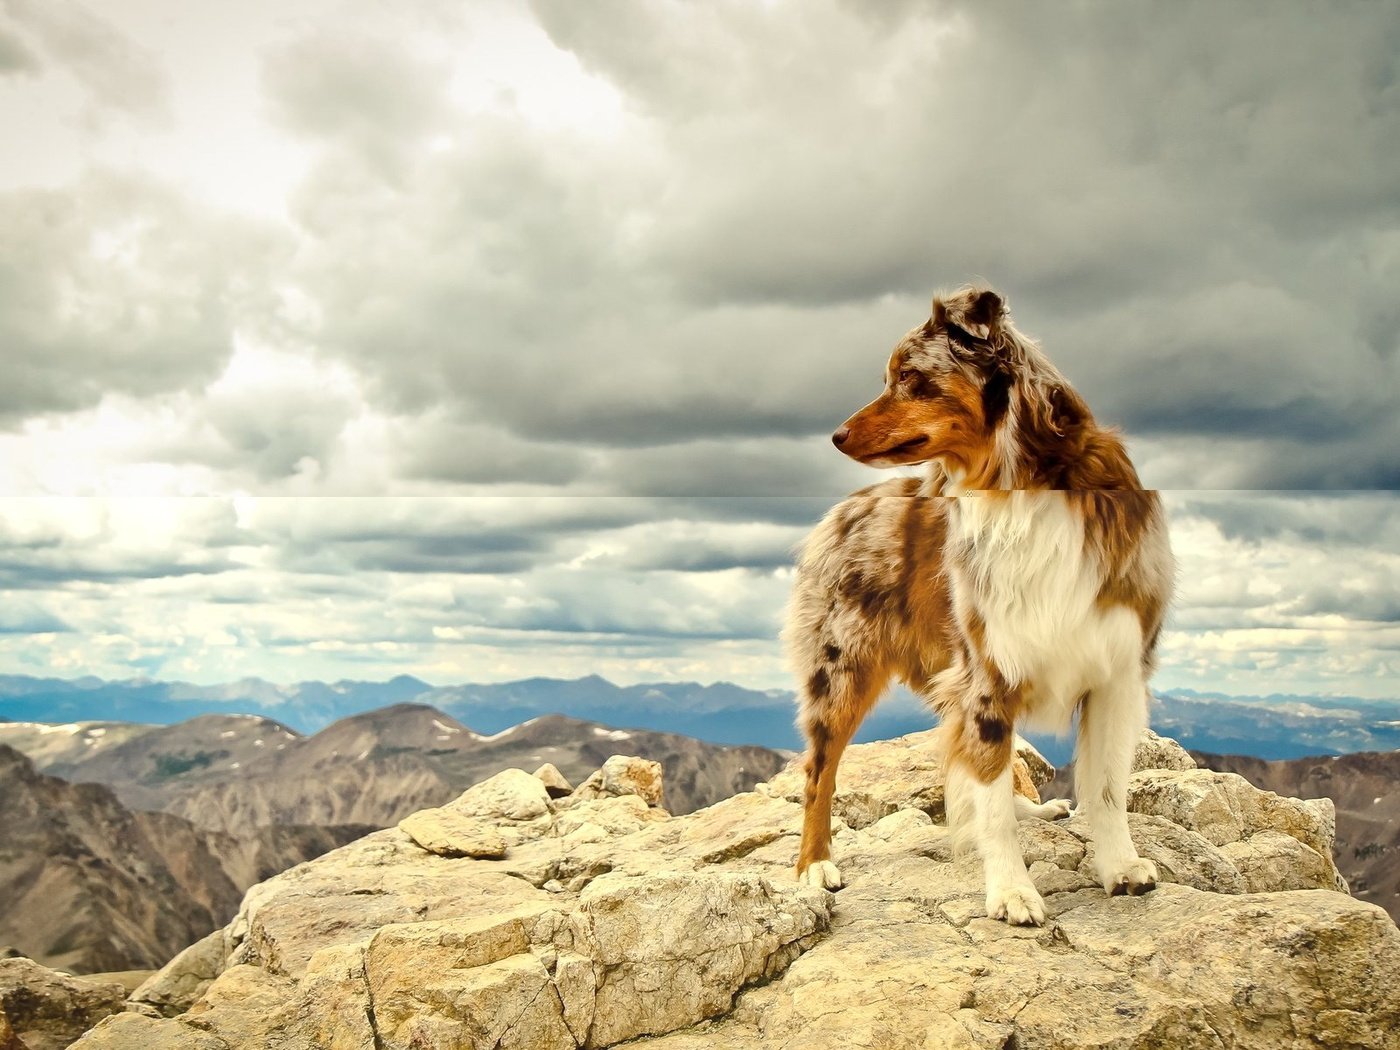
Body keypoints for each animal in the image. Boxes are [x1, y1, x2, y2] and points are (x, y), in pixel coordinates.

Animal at [789, 284, 1170, 924]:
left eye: (908, 376)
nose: (836, 435)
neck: (1021, 486)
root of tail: (844, 508)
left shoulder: (1115, 671)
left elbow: (1106, 786)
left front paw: (1120, 867)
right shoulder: (986, 673)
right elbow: (989, 799)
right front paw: (1012, 892)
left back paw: (1034, 810)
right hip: (841, 670)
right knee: (820, 771)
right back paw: (814, 865)